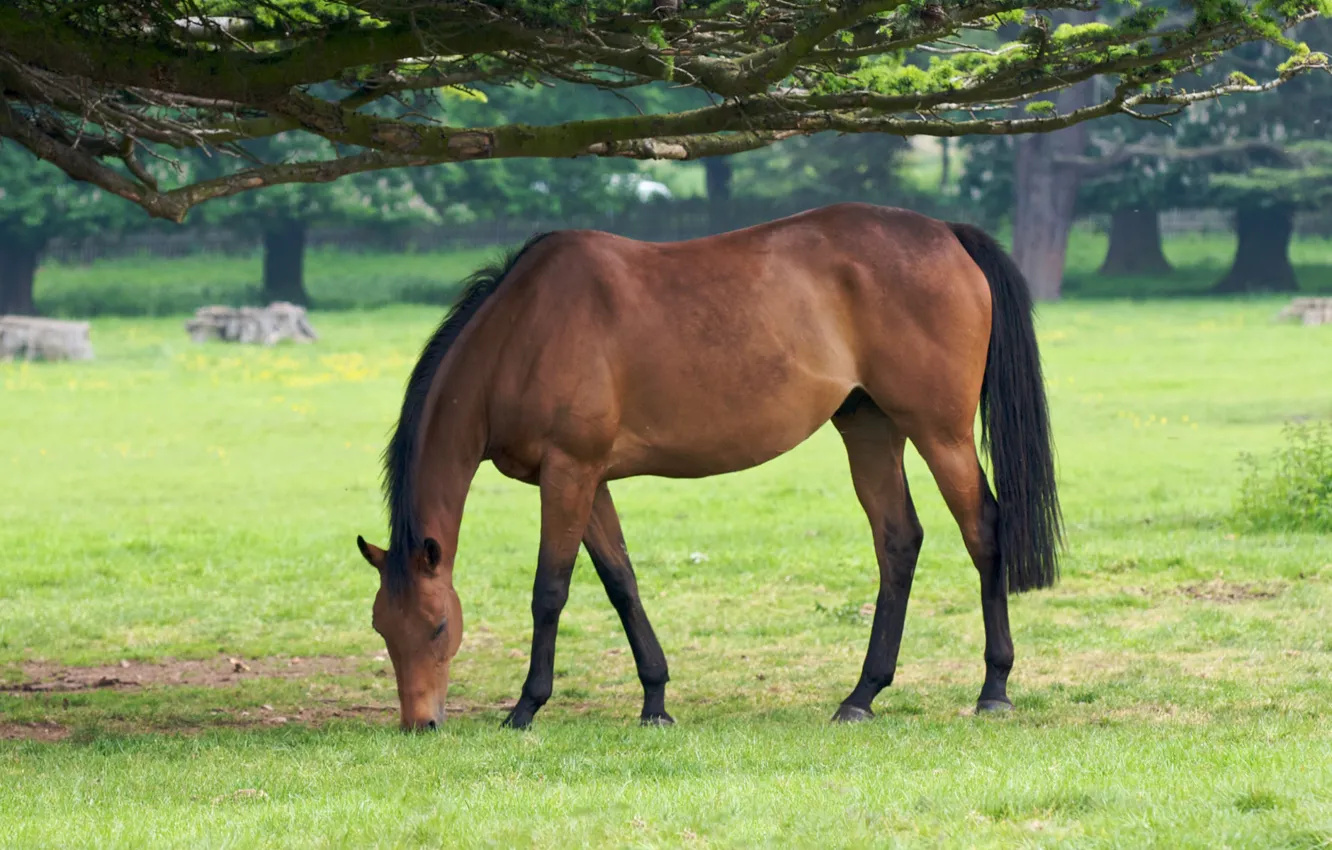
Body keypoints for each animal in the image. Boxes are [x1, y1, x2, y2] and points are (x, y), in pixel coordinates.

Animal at [355, 202, 1061, 731]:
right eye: (382, 629)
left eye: (438, 625)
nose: (420, 724)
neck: (522, 332)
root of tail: (946, 233)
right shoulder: (591, 481)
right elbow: (622, 583)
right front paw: (655, 701)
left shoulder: (568, 474)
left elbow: (549, 591)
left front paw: (526, 707)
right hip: (869, 426)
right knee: (898, 541)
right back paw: (862, 695)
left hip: (940, 433)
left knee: (984, 531)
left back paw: (994, 687)